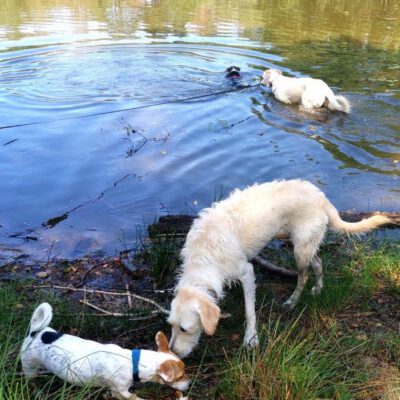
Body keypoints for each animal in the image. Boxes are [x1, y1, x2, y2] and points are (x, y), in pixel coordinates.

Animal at [168, 180, 390, 358]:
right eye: (170, 326)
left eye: (185, 329)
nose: (172, 353)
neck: (203, 255)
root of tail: (321, 197)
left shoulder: (246, 272)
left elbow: (249, 311)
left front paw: (251, 338)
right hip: (306, 245)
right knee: (318, 264)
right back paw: (318, 289)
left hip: (300, 250)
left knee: (303, 276)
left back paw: (292, 301)